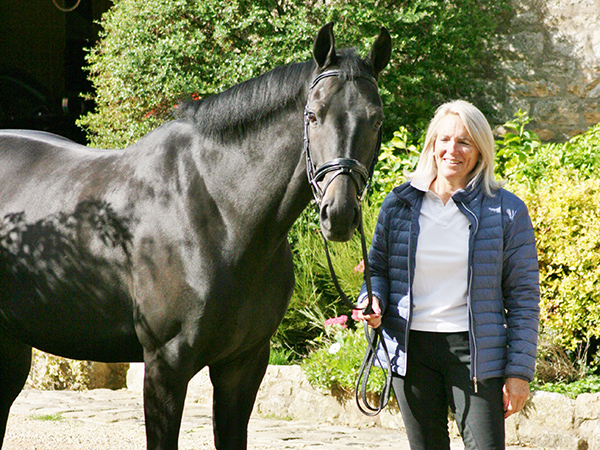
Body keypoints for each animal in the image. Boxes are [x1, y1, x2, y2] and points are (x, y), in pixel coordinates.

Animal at [0, 24, 392, 450]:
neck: (220, 214)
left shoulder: (244, 364)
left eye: (376, 119)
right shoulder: (165, 365)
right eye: (312, 115)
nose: (339, 213)